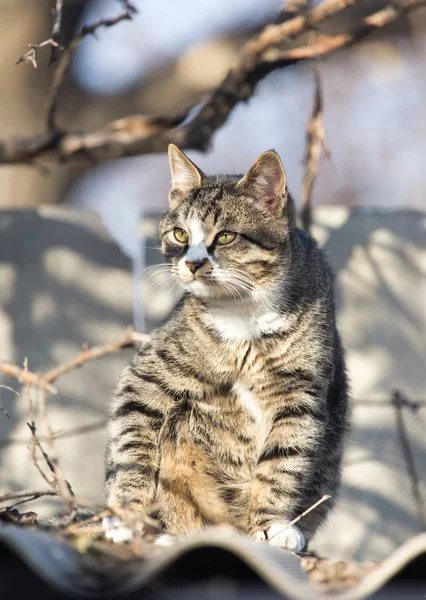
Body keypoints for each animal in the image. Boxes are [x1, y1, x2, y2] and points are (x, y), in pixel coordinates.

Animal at [105, 145, 348, 552]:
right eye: (180, 233)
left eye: (226, 237)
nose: (192, 263)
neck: (243, 315)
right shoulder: (146, 375)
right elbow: (131, 446)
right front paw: (125, 512)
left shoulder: (300, 395)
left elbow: (284, 460)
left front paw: (272, 524)